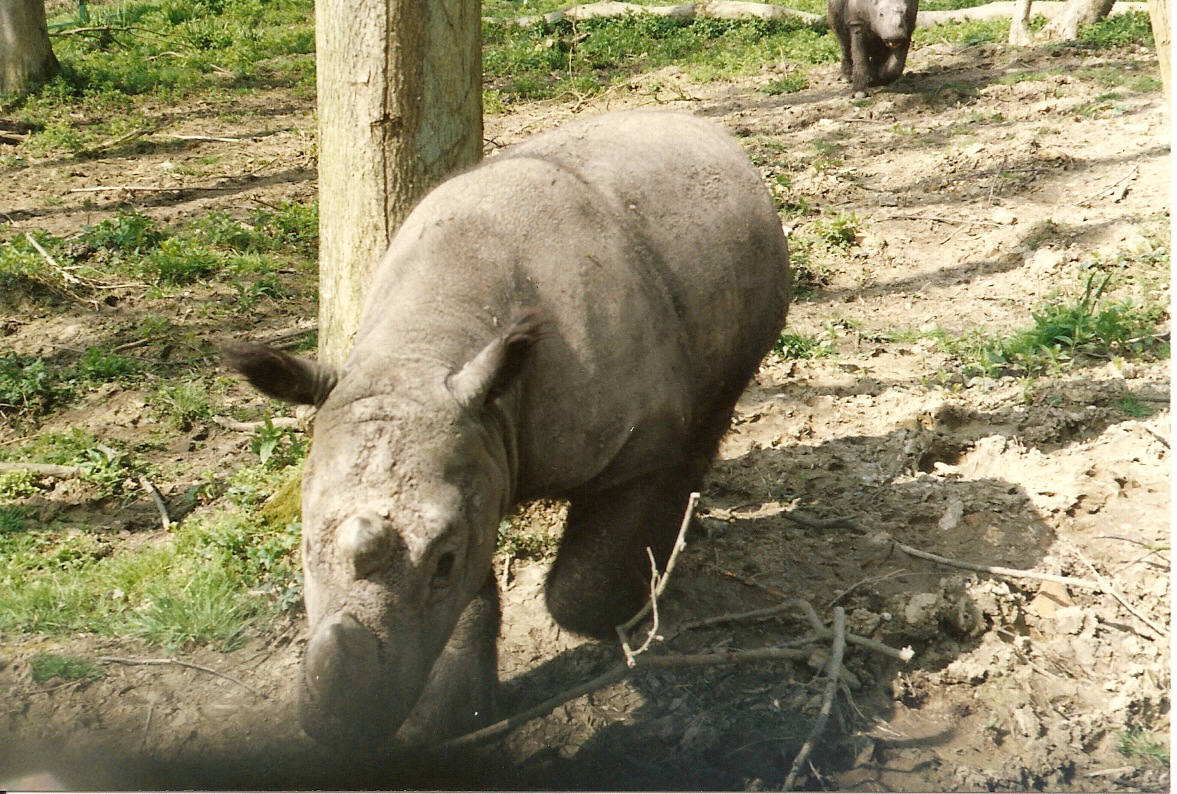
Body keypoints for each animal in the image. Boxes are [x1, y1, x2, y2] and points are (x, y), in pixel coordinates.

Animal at [225, 110, 791, 751]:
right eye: (302, 547)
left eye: (442, 562)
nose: (339, 728)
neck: (424, 347)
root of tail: (712, 133)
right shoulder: (469, 444)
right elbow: (466, 603)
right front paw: (450, 720)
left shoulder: (634, 445)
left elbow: (576, 591)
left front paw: (624, 612)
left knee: (709, 415)